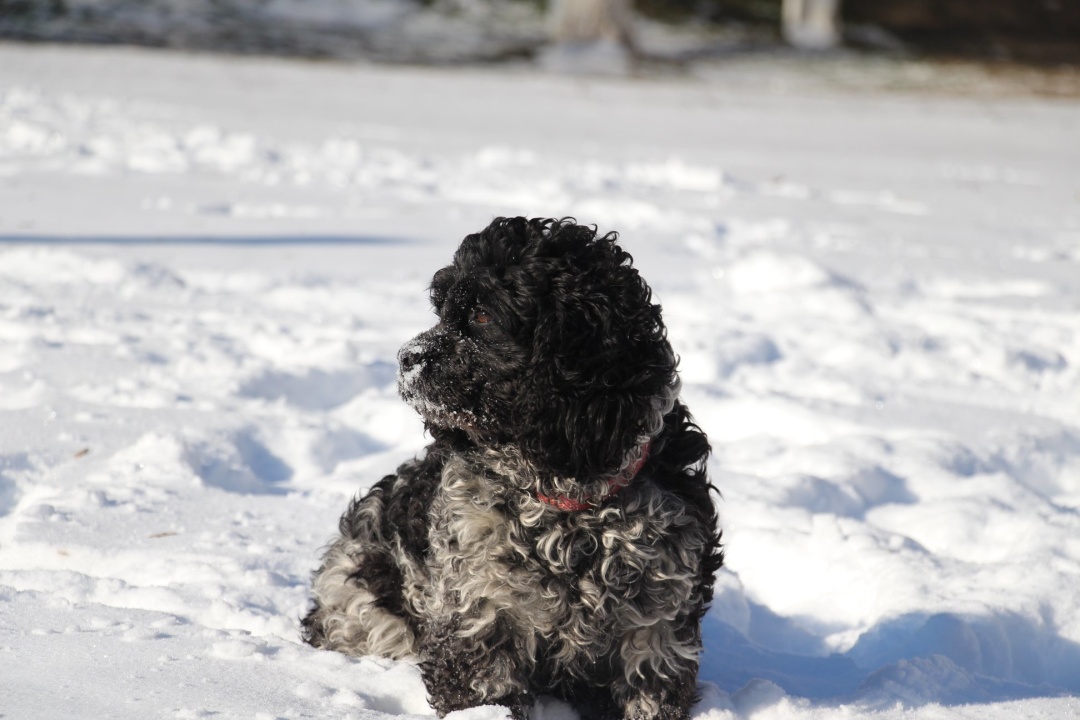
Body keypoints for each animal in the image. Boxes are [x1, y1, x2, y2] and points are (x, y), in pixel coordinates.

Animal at [304, 216, 721, 720]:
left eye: (483, 316)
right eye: (442, 310)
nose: (405, 358)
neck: (568, 501)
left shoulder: (657, 628)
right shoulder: (480, 614)